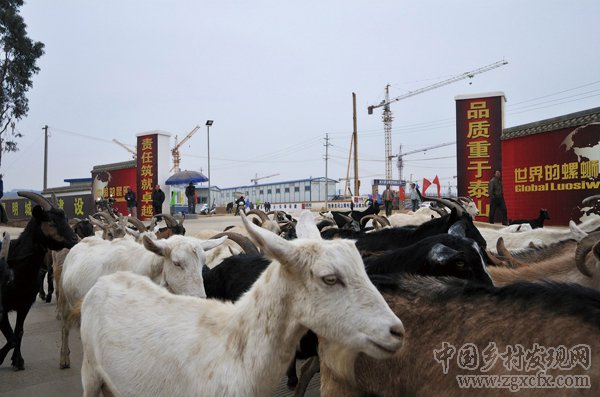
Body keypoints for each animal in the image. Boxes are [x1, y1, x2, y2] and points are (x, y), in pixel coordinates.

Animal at [0, 190, 78, 370]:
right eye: (50, 221)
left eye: (65, 218)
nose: (75, 239)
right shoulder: (2, 306)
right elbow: (11, 337)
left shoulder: (25, 304)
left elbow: (18, 333)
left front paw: (18, 360)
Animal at [59, 235, 226, 368]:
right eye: (177, 263)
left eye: (203, 263)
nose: (200, 299)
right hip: (64, 300)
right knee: (65, 326)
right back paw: (64, 358)